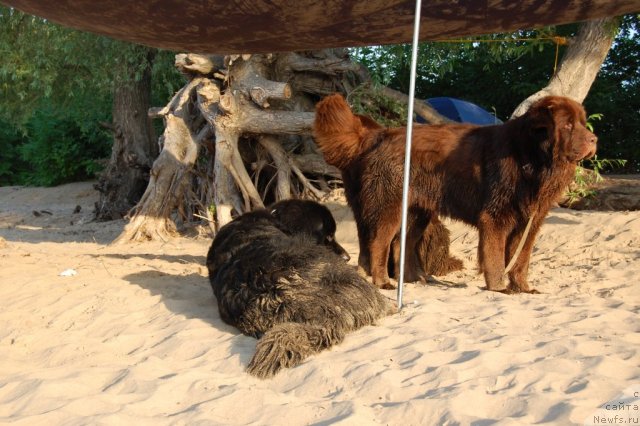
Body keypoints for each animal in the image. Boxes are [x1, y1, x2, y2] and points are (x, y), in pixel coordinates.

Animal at [312, 93, 596, 292]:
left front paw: (523, 288)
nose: (594, 140)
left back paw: (413, 279)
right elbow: (495, 255)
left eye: (583, 124)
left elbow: (521, 258)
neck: (531, 158)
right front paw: (499, 287)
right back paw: (383, 282)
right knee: (379, 243)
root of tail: (377, 135)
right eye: (568, 125)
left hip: (415, 212)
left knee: (399, 243)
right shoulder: (496, 217)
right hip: (389, 207)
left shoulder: (530, 221)